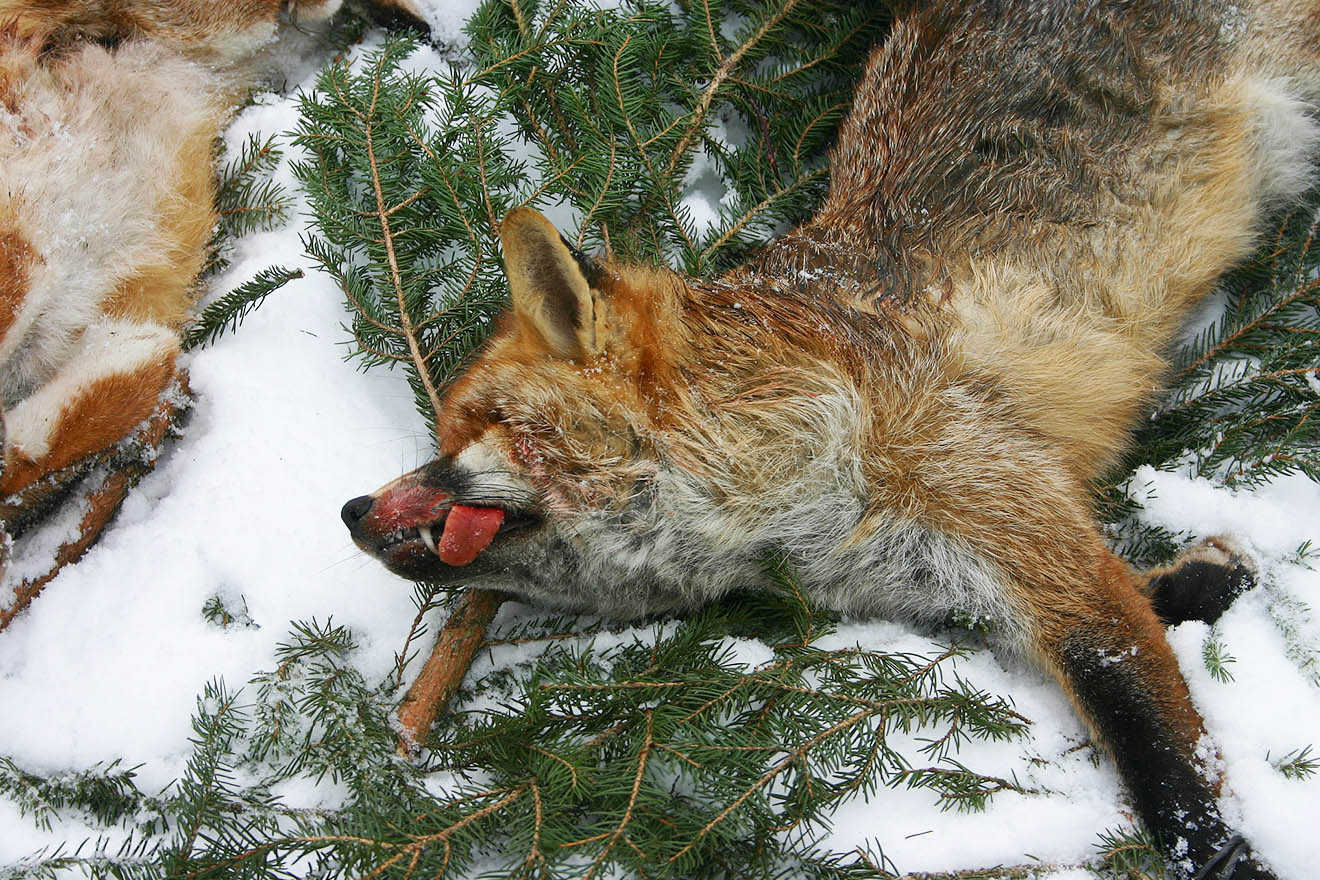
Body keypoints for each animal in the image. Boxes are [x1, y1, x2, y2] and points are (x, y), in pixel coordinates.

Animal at [343, 1, 1320, 880]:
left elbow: (1162, 761)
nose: (351, 509)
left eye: (480, 428)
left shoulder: (1003, 507)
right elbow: (1144, 606)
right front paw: (1210, 575)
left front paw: (1227, 853)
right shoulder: (958, 572)